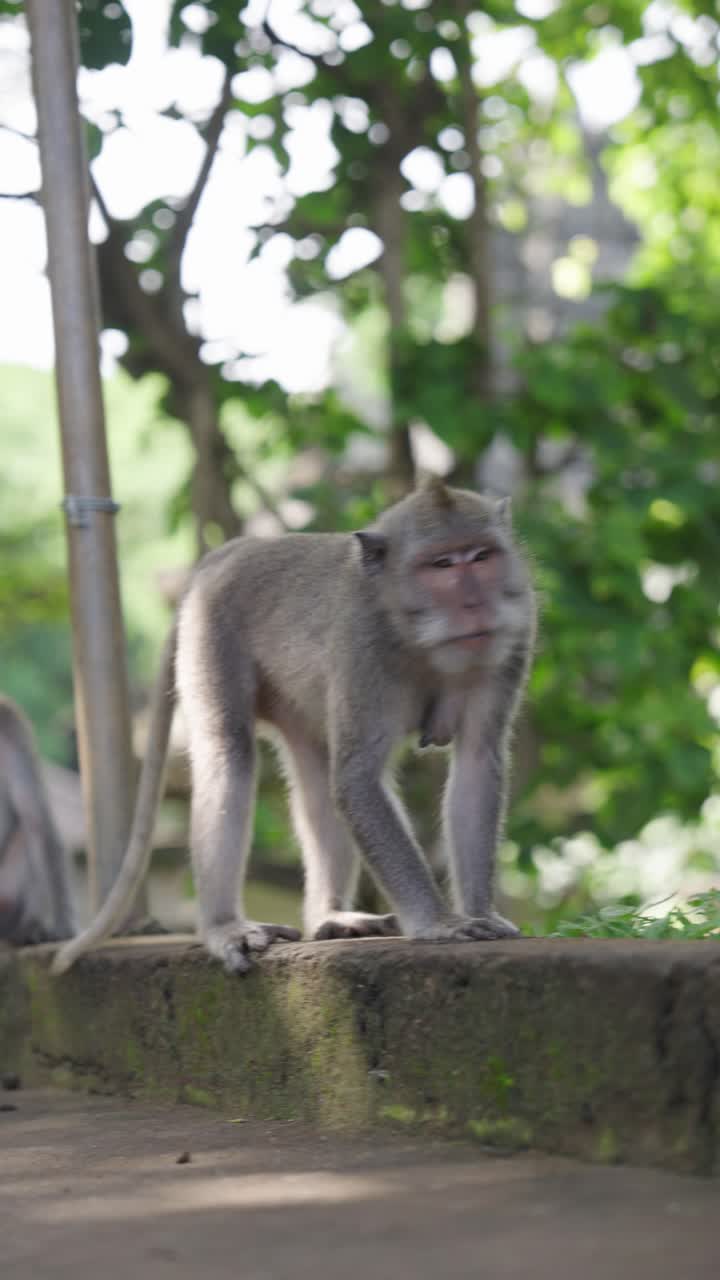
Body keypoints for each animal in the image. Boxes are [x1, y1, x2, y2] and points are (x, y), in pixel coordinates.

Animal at [53, 480, 535, 976]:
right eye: (442, 565)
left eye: (481, 555)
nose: (476, 604)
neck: (417, 635)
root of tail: (237, 548)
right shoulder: (363, 645)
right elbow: (359, 779)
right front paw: (437, 923)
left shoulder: (515, 634)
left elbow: (476, 761)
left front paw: (480, 912)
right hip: (209, 632)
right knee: (229, 758)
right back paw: (223, 926)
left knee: (317, 780)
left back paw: (330, 915)